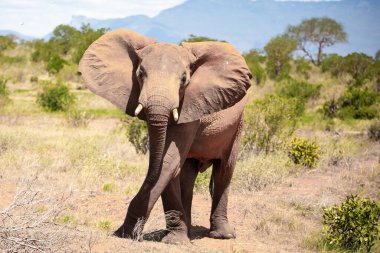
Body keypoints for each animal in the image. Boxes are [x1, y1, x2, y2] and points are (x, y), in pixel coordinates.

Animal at [78, 29, 251, 245]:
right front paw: (172, 240)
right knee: (187, 175)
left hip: (238, 125)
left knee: (224, 170)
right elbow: (167, 165)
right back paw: (189, 232)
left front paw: (129, 234)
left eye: (184, 80)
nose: (127, 232)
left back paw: (223, 235)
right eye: (140, 74)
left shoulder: (190, 105)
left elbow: (168, 162)